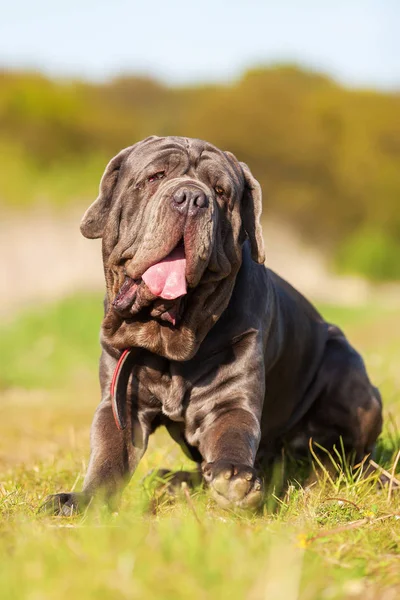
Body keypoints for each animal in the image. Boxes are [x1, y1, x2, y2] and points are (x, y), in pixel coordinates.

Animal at [43, 137, 382, 516]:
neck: (169, 340)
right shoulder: (120, 402)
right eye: (155, 177)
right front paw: (83, 500)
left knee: (350, 456)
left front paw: (234, 478)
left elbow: (232, 434)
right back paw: (174, 479)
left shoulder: (232, 397)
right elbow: (109, 455)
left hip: (347, 371)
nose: (192, 198)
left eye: (221, 192)